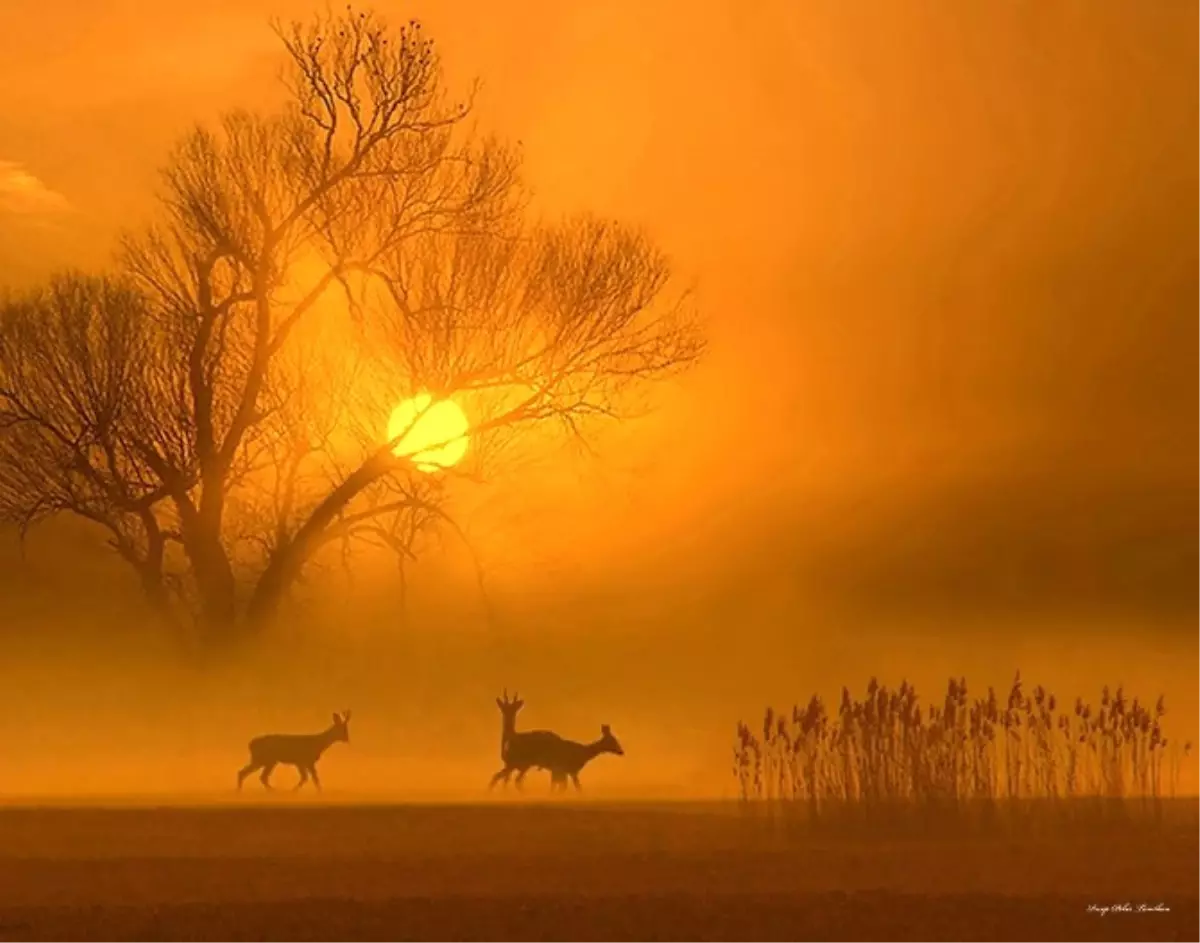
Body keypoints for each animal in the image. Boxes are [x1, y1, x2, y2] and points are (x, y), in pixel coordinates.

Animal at [487, 686, 624, 791]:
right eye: (613, 739)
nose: (621, 751)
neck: (583, 752)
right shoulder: (568, 771)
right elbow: (573, 788)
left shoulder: (562, 772)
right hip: (520, 765)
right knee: (507, 779)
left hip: (520, 766)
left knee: (503, 778)